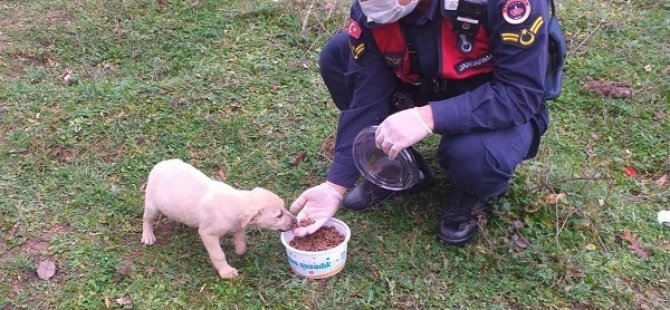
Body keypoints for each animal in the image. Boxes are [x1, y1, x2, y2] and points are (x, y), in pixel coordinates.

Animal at [140, 160, 296, 278]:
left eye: (284, 207)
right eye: (279, 215)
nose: (295, 221)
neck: (235, 202)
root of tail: (160, 164)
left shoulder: (238, 224)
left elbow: (240, 235)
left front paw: (240, 249)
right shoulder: (207, 233)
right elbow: (218, 254)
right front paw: (226, 271)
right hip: (152, 205)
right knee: (146, 219)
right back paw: (148, 236)